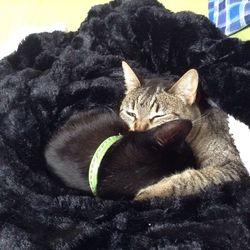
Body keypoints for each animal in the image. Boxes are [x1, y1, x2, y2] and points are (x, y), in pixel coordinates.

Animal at [119, 61, 248, 200]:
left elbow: (192, 178)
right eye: (131, 114)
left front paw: (154, 190)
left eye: (159, 116)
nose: (138, 131)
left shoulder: (231, 168)